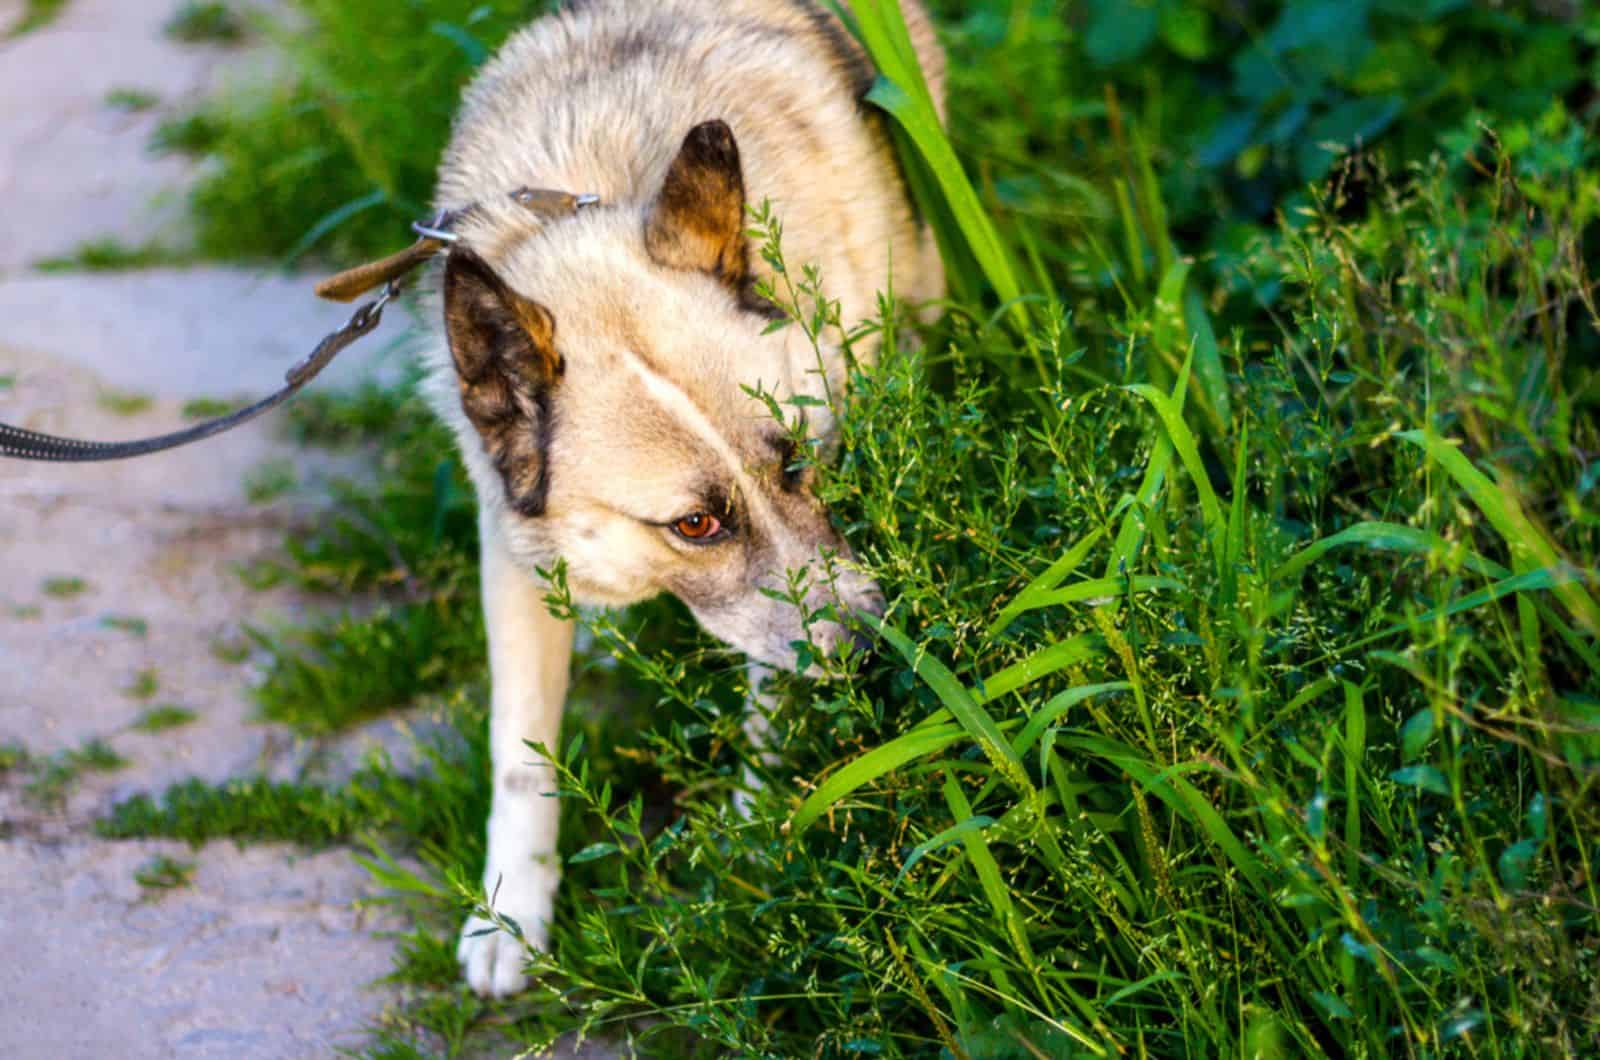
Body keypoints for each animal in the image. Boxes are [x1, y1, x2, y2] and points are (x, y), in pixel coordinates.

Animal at [419, 0, 947, 999]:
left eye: (795, 463)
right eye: (694, 524)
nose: (874, 648)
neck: (589, 189)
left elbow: (770, 696)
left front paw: (755, 828)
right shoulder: (510, 555)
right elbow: (517, 755)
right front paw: (510, 915)